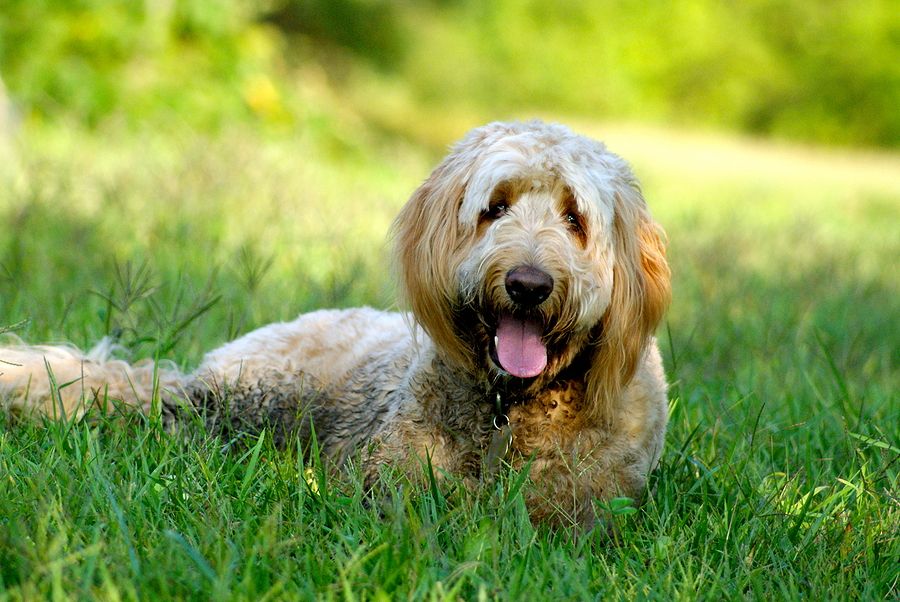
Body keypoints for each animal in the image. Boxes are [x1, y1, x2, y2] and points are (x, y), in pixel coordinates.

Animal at [0, 120, 668, 524]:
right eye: (494, 208)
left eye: (575, 218)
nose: (528, 285)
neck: (514, 404)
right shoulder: (395, 485)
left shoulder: (588, 509)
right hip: (245, 403)